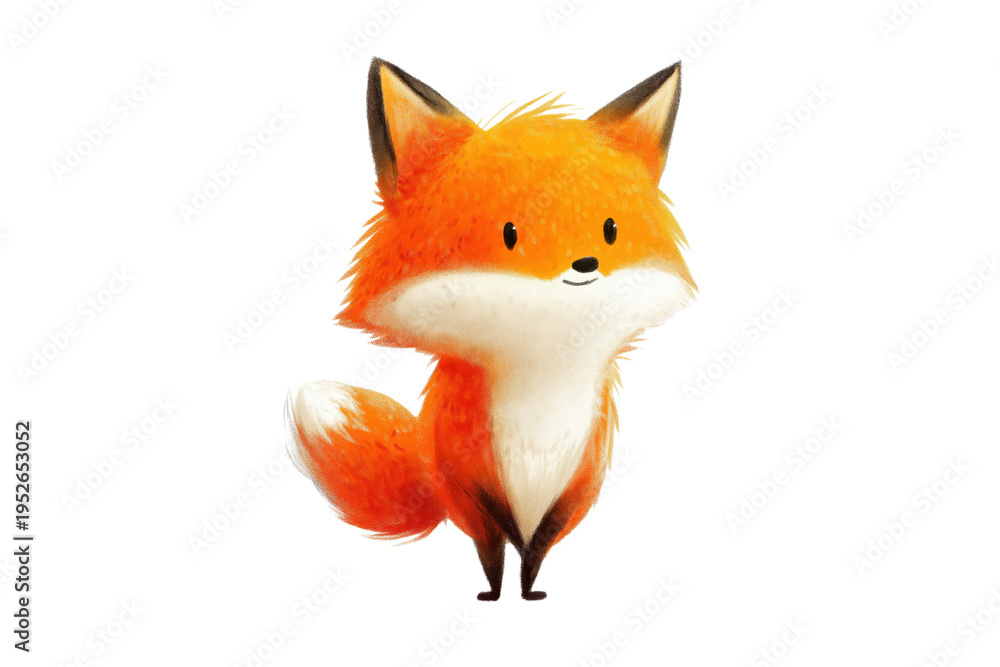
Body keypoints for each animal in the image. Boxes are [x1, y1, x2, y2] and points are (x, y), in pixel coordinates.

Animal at [285, 57, 695, 601]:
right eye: (510, 233)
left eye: (610, 230)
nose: (584, 265)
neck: (541, 383)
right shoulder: (475, 484)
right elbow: (496, 550)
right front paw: (497, 594)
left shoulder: (576, 487)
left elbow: (536, 551)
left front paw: (530, 591)